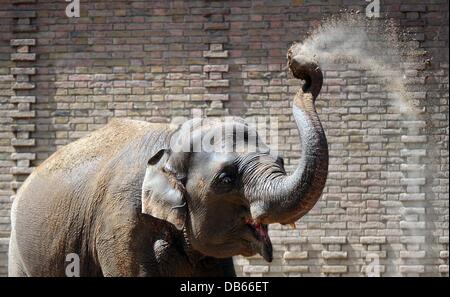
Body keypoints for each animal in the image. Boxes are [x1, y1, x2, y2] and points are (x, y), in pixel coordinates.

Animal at [8, 47, 328, 276]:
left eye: (281, 160)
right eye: (225, 179)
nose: (299, 63)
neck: (172, 139)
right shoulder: (119, 223)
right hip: (17, 250)